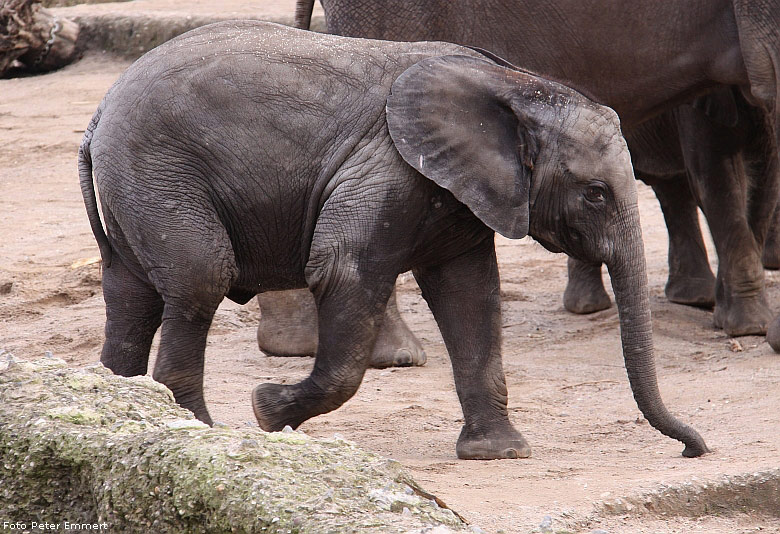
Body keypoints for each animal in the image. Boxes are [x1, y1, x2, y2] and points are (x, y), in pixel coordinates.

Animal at [79, 19, 708, 460]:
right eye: (596, 194)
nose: (693, 448)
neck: (516, 86)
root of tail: (99, 113)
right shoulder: (387, 166)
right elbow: (343, 271)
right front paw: (267, 413)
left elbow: (470, 294)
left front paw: (500, 453)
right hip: (158, 171)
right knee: (198, 279)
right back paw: (198, 429)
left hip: (136, 185)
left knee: (131, 295)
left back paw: (124, 411)